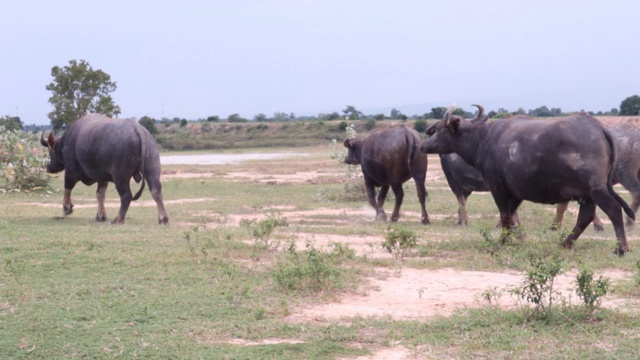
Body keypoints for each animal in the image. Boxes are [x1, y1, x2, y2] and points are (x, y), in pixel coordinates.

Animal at [41, 114, 169, 224]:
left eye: (50, 152)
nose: (48, 167)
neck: (65, 143)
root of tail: (137, 129)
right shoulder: (102, 178)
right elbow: (100, 194)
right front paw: (101, 215)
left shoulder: (71, 171)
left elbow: (68, 187)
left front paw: (67, 208)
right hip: (152, 169)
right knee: (156, 191)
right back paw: (163, 218)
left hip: (120, 176)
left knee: (126, 195)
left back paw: (118, 219)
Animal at [420, 104, 636, 256]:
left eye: (439, 129)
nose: (423, 145)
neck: (483, 139)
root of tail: (599, 129)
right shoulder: (515, 193)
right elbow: (513, 218)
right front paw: (518, 240)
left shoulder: (498, 188)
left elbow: (505, 216)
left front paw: (503, 242)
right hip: (587, 195)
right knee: (586, 217)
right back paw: (565, 243)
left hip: (596, 188)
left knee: (613, 209)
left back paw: (621, 248)